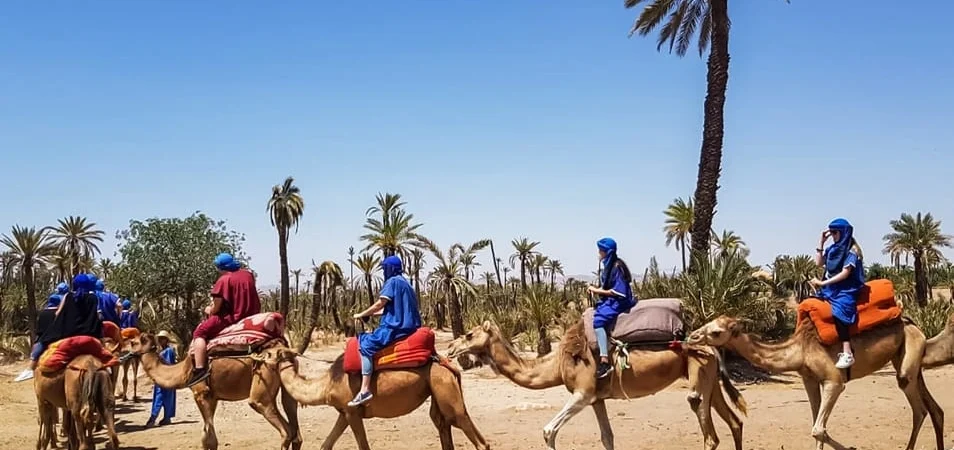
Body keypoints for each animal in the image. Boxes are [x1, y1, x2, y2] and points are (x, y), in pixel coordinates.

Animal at [130, 332, 302, 450]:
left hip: (262, 383)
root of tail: (284, 350)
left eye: (132, 342)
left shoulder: (201, 394)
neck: (183, 371)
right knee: (295, 430)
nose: (126, 352)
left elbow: (210, 439)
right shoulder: (212, 397)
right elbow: (206, 437)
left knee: (285, 431)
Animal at [255, 344, 488, 450]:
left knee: (470, 432)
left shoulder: (352, 411)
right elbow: (326, 445)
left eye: (269, 352)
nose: (256, 356)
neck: (327, 384)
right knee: (444, 424)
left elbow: (363, 445)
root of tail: (447, 364)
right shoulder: (344, 412)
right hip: (440, 391)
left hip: (443, 387)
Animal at [446, 320, 744, 450]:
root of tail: (711, 346)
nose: (450, 348)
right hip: (711, 380)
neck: (558, 363)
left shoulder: (583, 393)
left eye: (469, 334)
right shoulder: (597, 399)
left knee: (708, 429)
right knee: (735, 422)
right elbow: (607, 437)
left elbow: (548, 431)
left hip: (699, 374)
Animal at [684, 316, 944, 450]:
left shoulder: (834, 380)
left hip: (908, 357)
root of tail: (914, 325)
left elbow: (818, 428)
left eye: (716, 332)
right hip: (906, 358)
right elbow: (817, 426)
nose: (691, 336)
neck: (800, 350)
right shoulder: (809, 379)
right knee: (935, 410)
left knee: (919, 409)